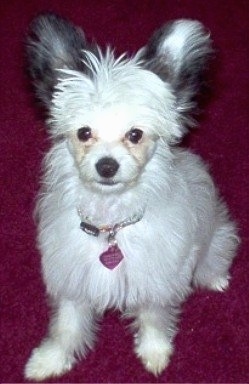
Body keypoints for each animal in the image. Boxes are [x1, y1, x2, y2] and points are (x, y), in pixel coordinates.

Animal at [24, 12, 238, 380]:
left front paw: (154, 352)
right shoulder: (72, 275)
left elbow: (153, 317)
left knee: (213, 260)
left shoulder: (156, 275)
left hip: (217, 238)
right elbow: (66, 326)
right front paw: (50, 360)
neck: (111, 223)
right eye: (84, 133)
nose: (107, 165)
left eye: (135, 135)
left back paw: (216, 278)